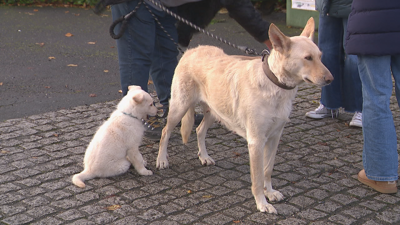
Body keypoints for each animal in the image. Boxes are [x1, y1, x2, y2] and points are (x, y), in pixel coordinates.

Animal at [158, 18, 332, 214]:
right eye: (307, 58)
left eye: (320, 56)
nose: (331, 79)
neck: (275, 86)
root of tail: (191, 51)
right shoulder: (256, 142)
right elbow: (257, 178)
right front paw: (262, 203)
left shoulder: (274, 138)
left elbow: (267, 170)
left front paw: (270, 192)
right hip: (179, 108)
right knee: (165, 132)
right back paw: (162, 160)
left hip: (215, 112)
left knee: (200, 130)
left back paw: (204, 156)